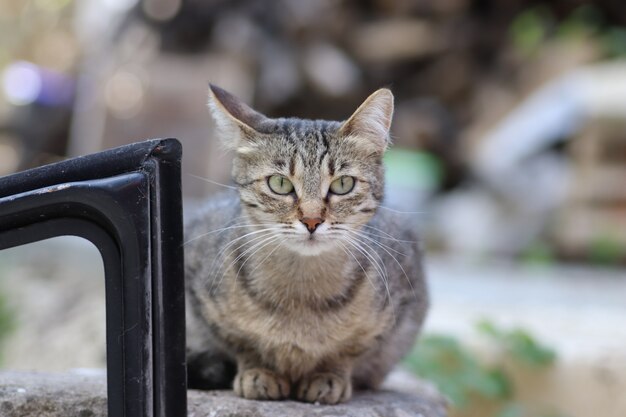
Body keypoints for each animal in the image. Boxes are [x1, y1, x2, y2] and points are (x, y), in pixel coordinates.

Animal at [184, 84, 428, 404]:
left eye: (342, 184)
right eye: (279, 184)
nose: (312, 221)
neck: (301, 296)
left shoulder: (399, 308)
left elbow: (348, 350)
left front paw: (328, 375)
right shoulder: (201, 301)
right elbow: (241, 342)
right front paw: (257, 371)